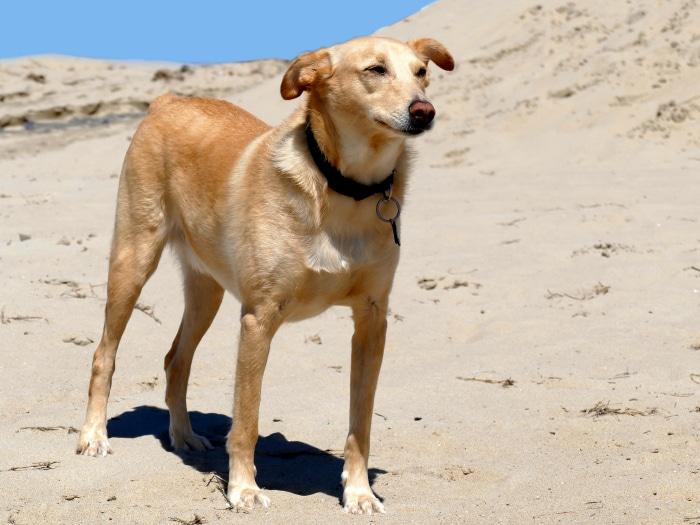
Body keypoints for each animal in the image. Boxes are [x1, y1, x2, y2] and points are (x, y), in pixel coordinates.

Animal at [78, 35, 454, 512]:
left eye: (421, 72)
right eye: (375, 69)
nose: (424, 110)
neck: (343, 187)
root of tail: (169, 101)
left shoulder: (372, 320)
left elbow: (361, 424)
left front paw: (359, 492)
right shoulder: (259, 318)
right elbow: (247, 420)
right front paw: (243, 488)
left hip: (207, 293)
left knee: (176, 360)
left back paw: (183, 435)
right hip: (133, 260)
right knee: (104, 355)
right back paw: (93, 435)